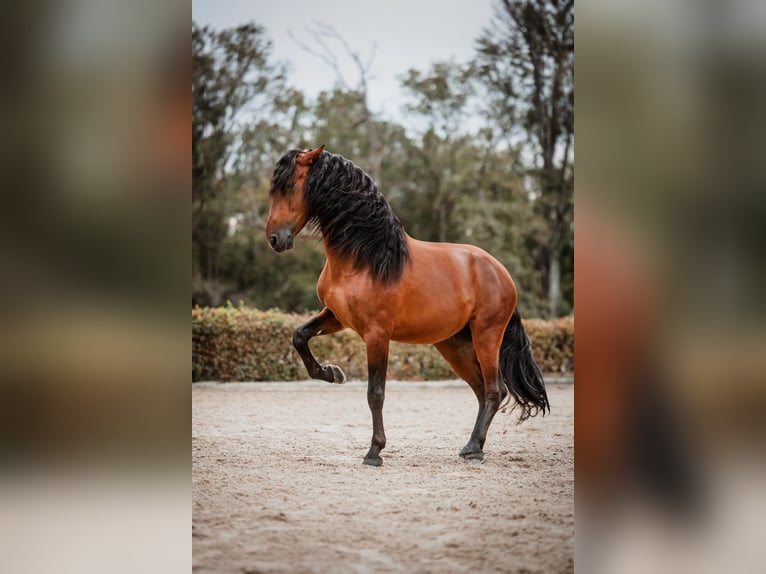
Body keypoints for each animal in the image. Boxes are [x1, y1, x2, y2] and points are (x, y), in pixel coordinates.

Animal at [268, 146, 548, 466]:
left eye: (290, 186)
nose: (275, 238)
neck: (367, 257)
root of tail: (500, 272)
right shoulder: (337, 317)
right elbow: (300, 336)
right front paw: (332, 373)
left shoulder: (377, 335)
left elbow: (375, 393)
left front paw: (374, 452)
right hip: (456, 345)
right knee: (481, 389)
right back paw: (474, 446)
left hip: (486, 337)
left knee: (494, 389)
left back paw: (473, 448)